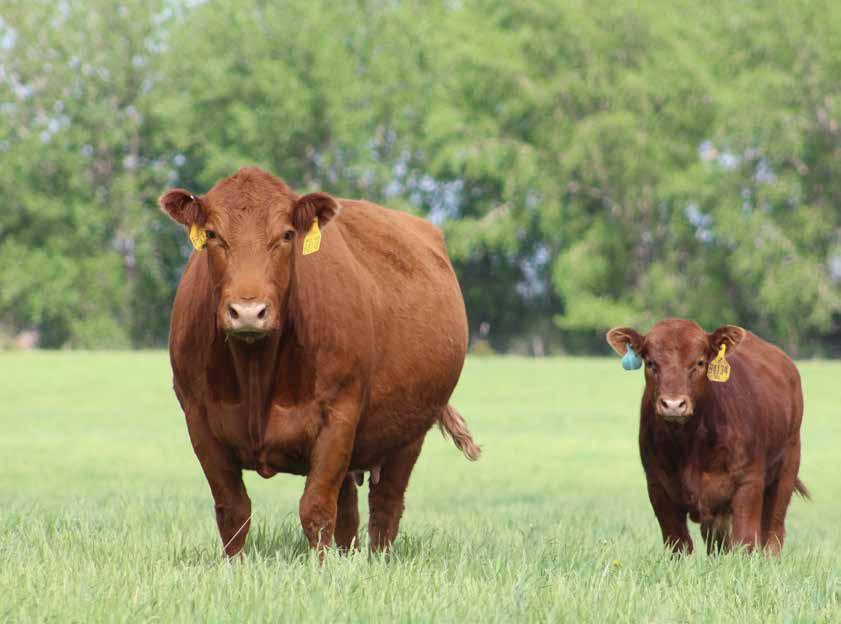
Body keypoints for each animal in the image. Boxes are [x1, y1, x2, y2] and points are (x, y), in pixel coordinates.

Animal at [159, 166, 480, 556]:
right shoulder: (199, 421)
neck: (255, 370)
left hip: (410, 432)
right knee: (349, 510)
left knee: (385, 508)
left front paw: (320, 568)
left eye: (286, 235)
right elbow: (233, 510)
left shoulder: (338, 417)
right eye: (212, 234)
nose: (248, 312)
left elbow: (315, 509)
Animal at [606, 319, 807, 555]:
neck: (690, 444)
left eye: (700, 362)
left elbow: (745, 541)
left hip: (787, 468)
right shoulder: (657, 486)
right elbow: (679, 543)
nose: (673, 404)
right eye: (650, 363)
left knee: (773, 534)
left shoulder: (748, 483)